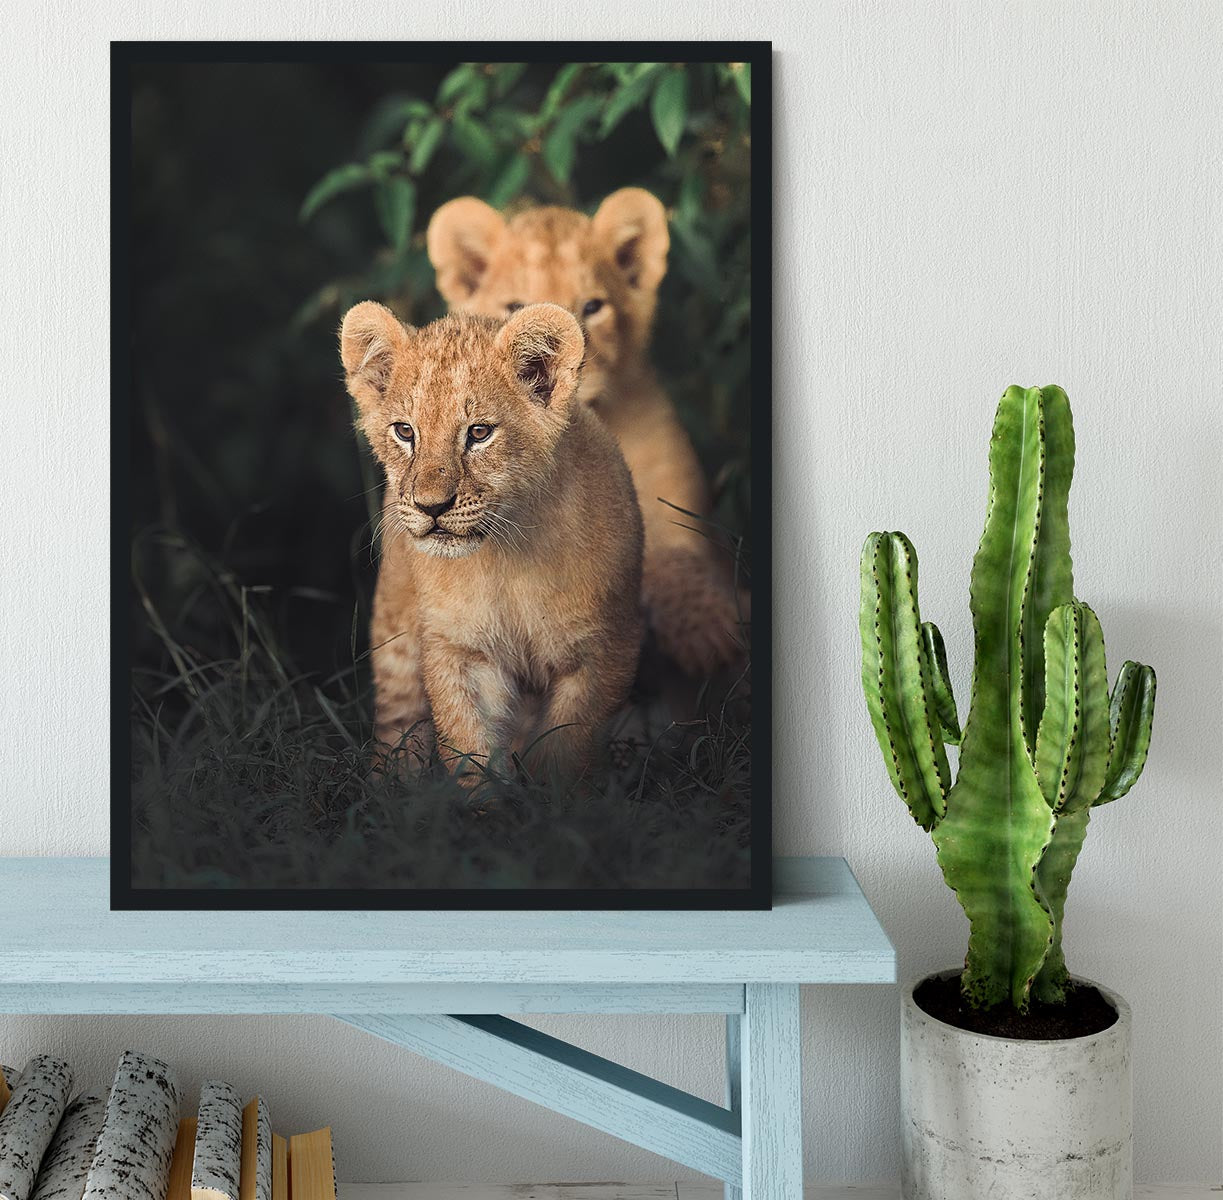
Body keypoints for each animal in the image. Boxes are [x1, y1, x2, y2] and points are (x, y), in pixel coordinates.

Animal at [339, 300, 644, 781]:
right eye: (405, 432)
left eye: (479, 433)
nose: (430, 507)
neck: (508, 556)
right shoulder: (459, 650)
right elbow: (470, 751)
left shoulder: (606, 649)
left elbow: (565, 751)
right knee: (398, 726)